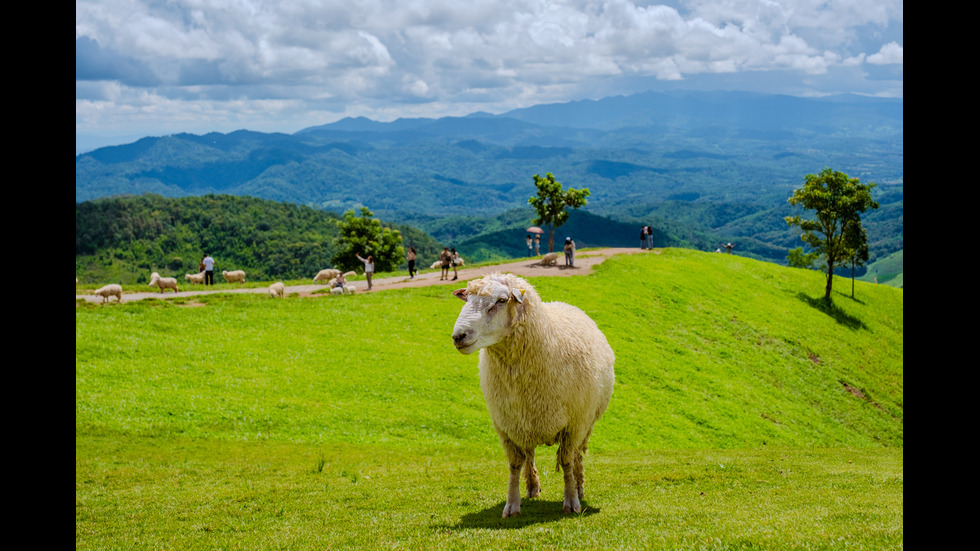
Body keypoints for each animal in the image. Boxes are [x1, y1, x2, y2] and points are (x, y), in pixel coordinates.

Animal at [452, 274, 612, 520]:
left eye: (501, 300)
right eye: (466, 299)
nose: (459, 336)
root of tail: (562, 303)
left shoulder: (574, 425)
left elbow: (566, 461)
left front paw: (571, 501)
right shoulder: (506, 426)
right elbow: (514, 465)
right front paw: (512, 504)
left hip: (586, 423)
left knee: (577, 456)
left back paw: (579, 487)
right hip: (525, 421)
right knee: (529, 455)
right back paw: (532, 488)